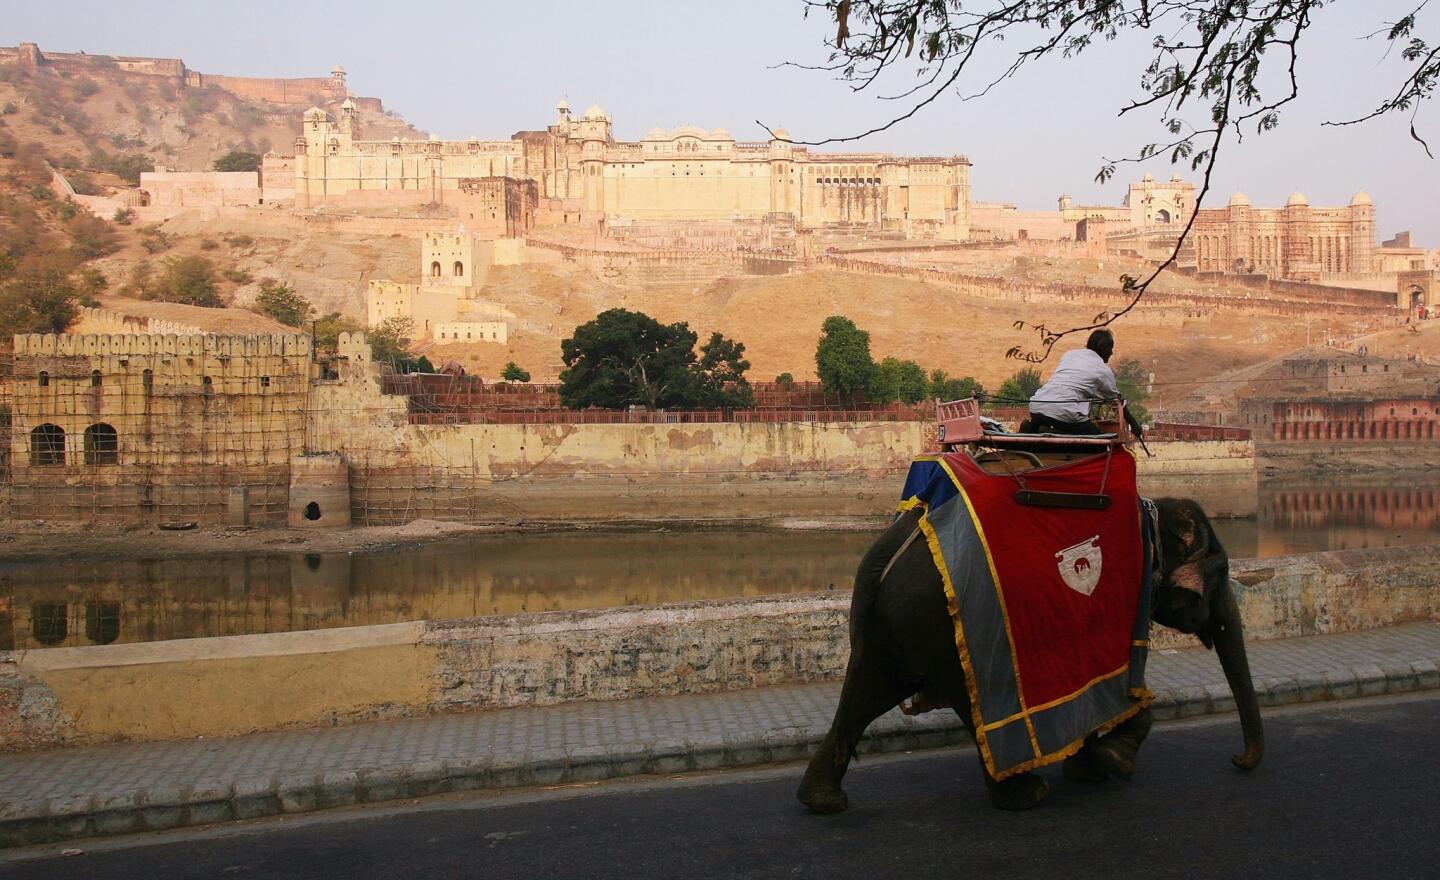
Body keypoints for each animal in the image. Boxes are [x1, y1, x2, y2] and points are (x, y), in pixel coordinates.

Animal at [800, 492, 1261, 818]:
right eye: (1221, 572)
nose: (1237, 760)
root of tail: (885, 559)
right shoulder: (1122, 597)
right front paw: (1114, 761)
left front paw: (1090, 767)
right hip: (942, 625)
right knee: (969, 702)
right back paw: (1023, 794)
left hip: (890, 626)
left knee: (866, 695)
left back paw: (821, 800)